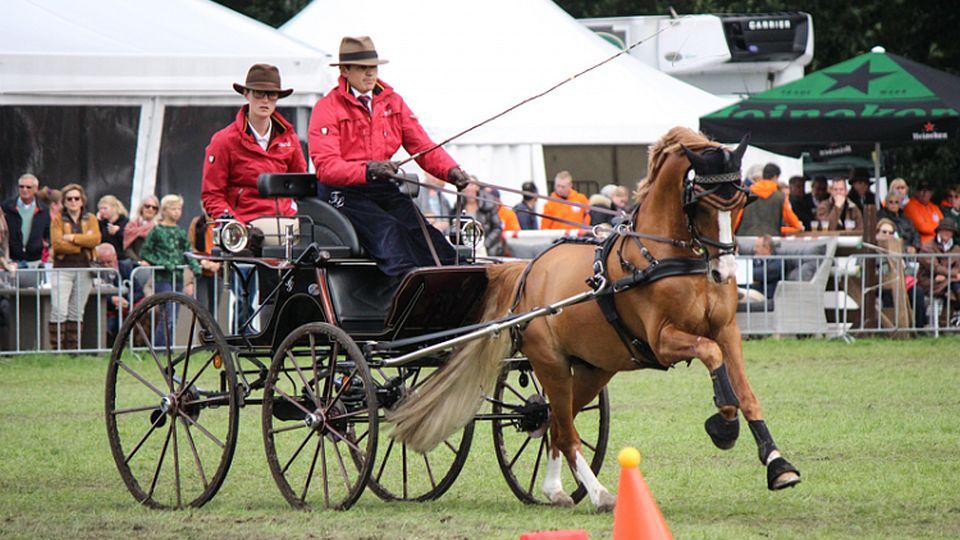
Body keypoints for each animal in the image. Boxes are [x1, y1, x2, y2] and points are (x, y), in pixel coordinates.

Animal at [387, 126, 801, 511]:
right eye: (702, 204)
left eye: (741, 201)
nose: (725, 271)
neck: (662, 256)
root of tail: (527, 271)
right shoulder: (662, 340)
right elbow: (711, 356)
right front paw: (724, 426)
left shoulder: (727, 330)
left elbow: (746, 393)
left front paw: (778, 465)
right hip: (552, 363)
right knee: (564, 429)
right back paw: (600, 494)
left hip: (592, 367)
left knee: (554, 420)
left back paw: (555, 490)